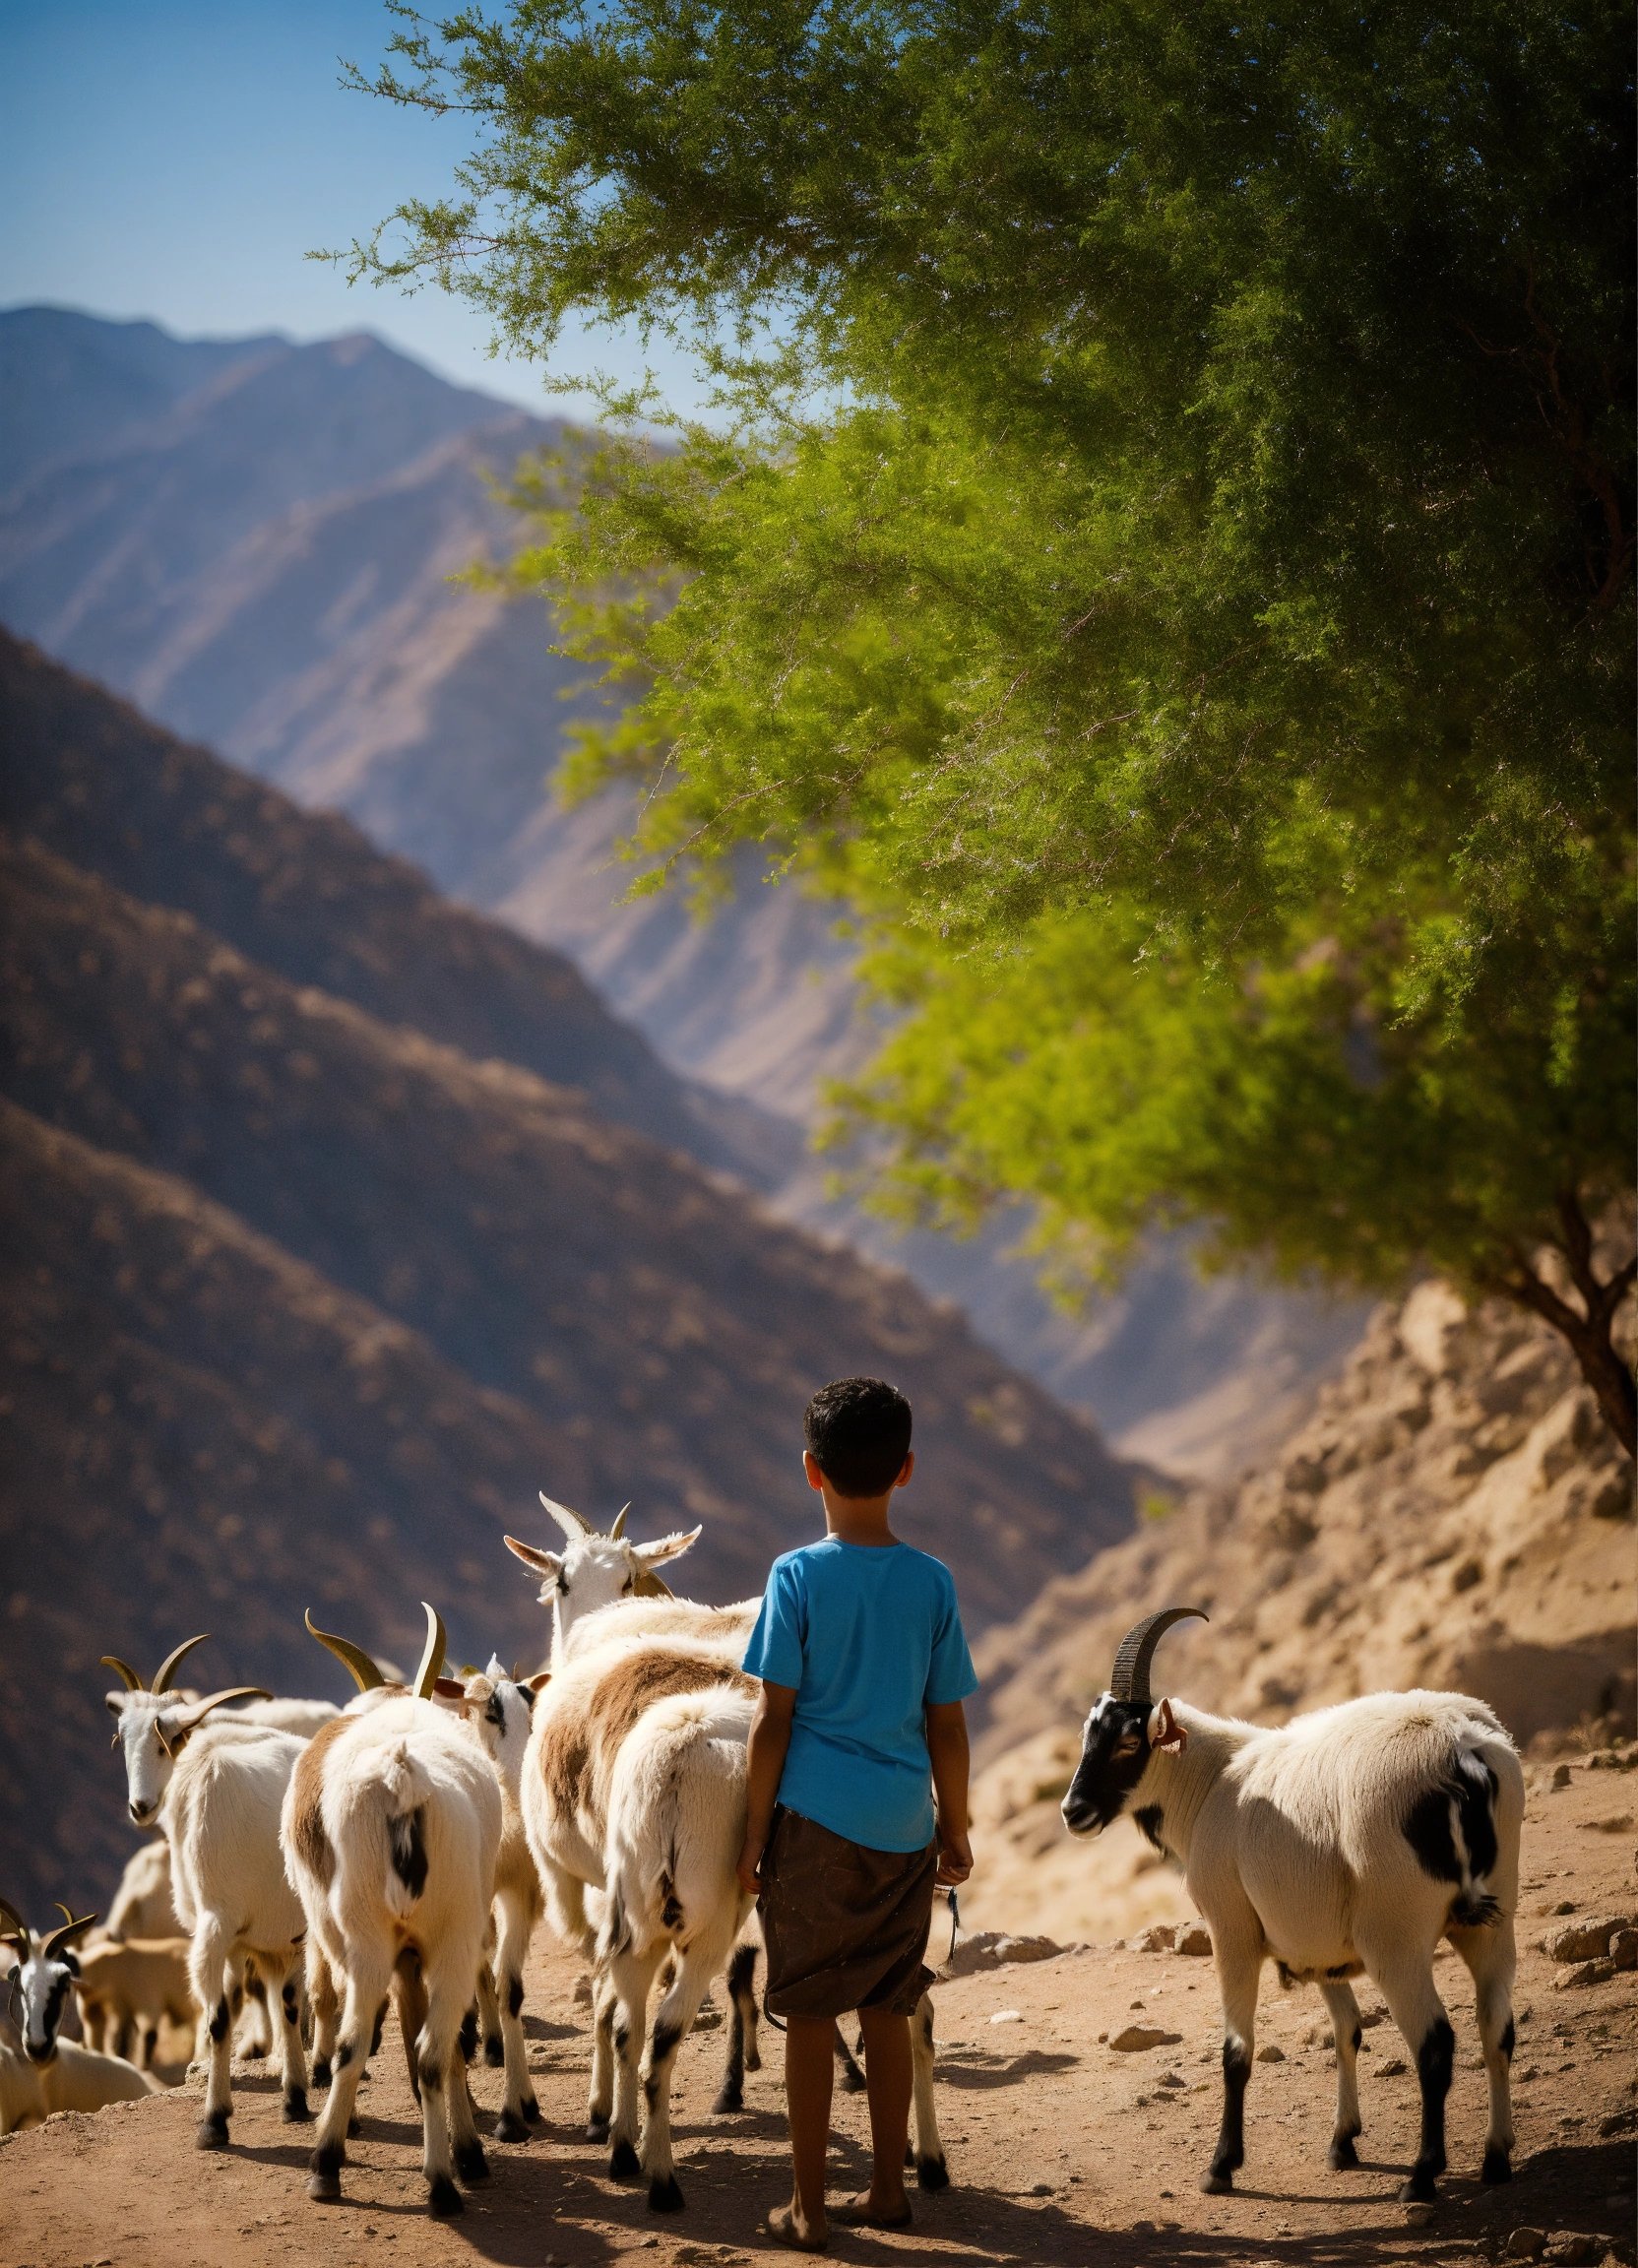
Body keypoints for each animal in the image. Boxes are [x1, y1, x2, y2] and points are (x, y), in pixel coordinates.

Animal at [282, 1597, 496, 2213]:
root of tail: (401, 1778)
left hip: (368, 1933)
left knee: (357, 2041)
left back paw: (332, 2163)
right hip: (450, 1933)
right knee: (433, 2048)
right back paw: (446, 2177)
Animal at [1056, 1606, 1515, 2204]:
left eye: (1131, 1742)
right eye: (1089, 1734)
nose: (1074, 1811)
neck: (1217, 1779)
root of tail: (1463, 1755)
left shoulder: (1232, 1929)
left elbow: (1236, 2051)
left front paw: (1221, 2167)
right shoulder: (1321, 1948)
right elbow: (1347, 2031)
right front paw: (1342, 2145)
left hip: (1396, 1941)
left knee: (1436, 2043)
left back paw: (1421, 2178)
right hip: (1492, 1923)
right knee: (1496, 2027)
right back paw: (1496, 2158)